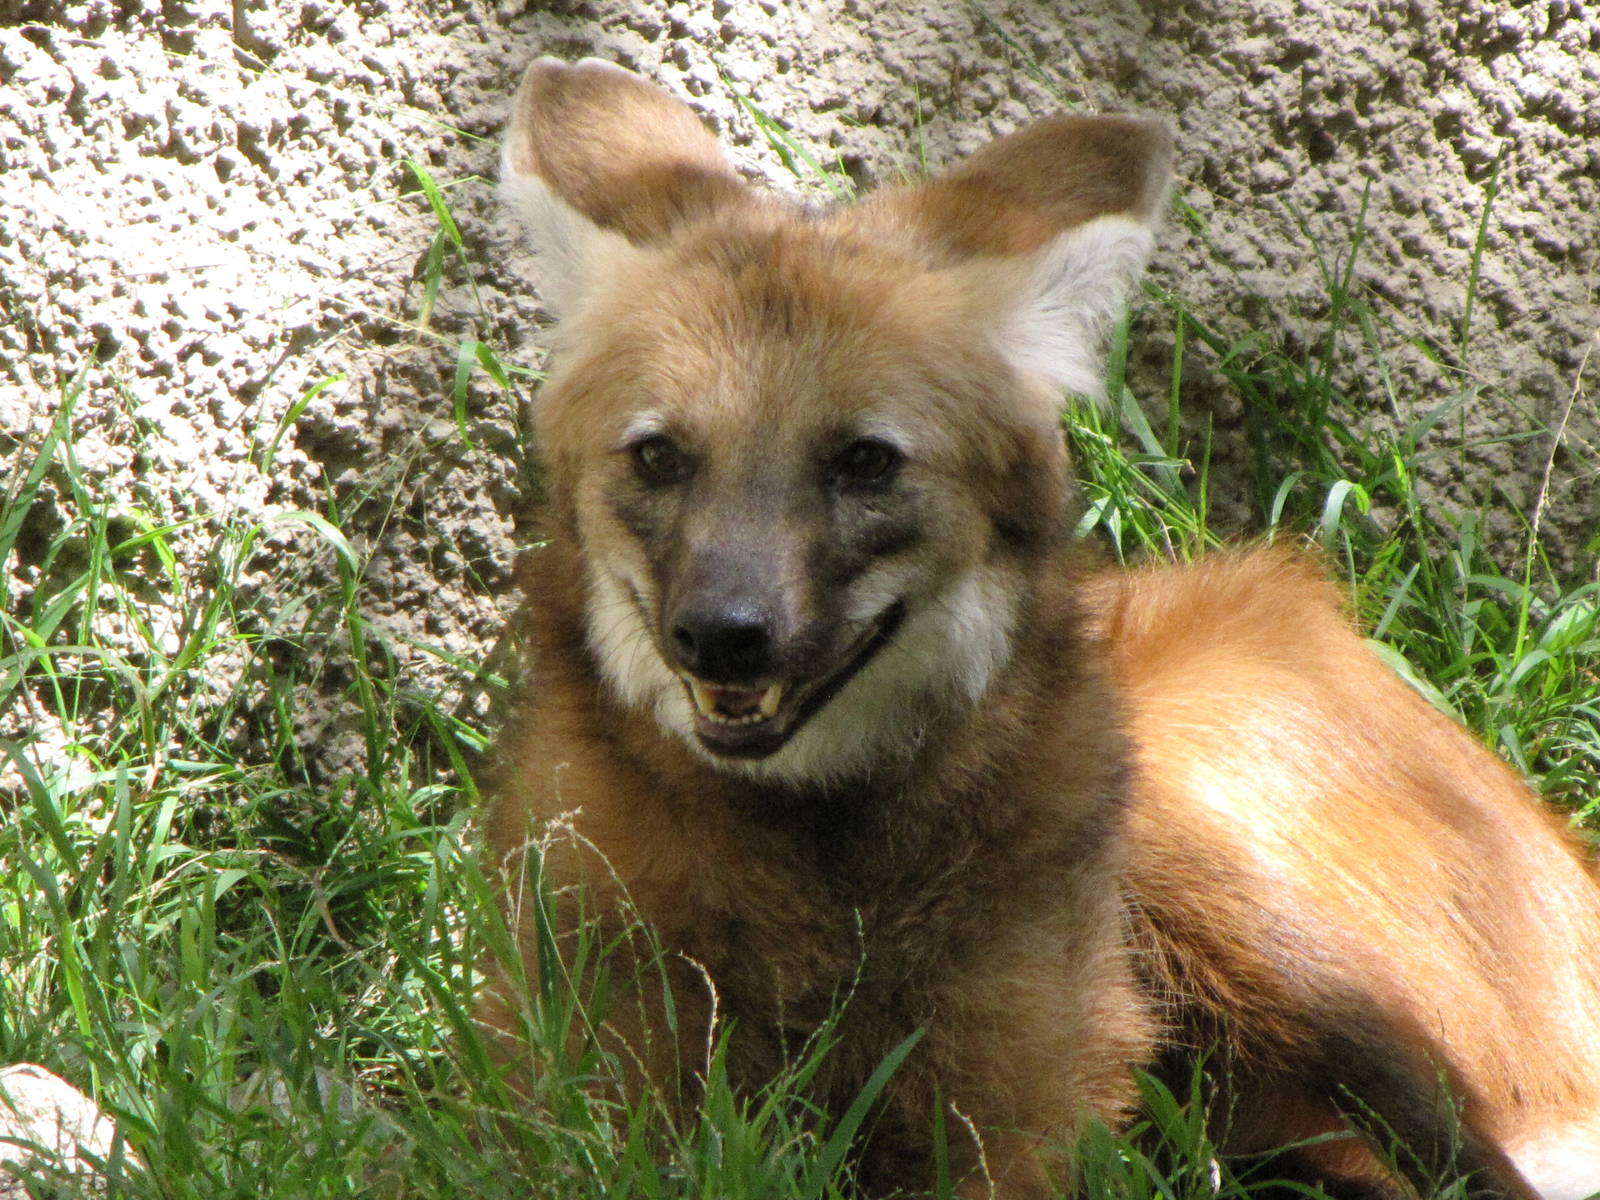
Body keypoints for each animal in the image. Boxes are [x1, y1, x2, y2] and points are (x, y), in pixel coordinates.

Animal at [477, 56, 1600, 1200]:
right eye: (659, 457)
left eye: (865, 462)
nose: (723, 634)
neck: (816, 862)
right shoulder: (584, 1091)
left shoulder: (1026, 1107)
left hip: (1194, 824)